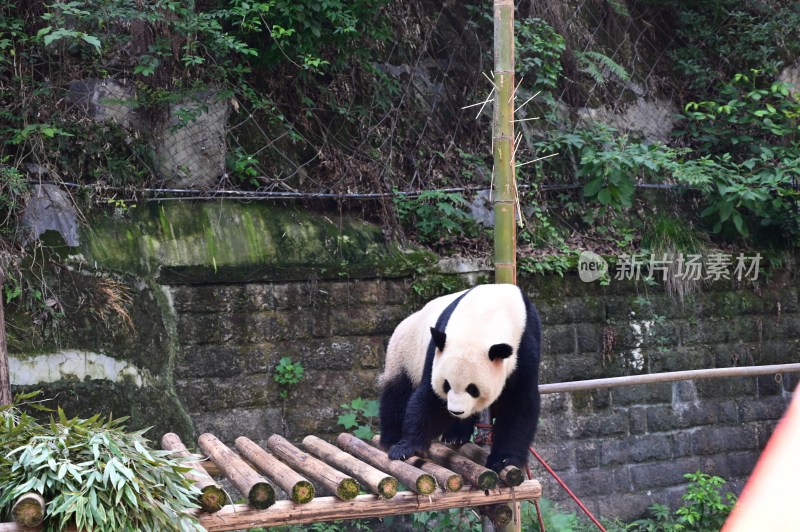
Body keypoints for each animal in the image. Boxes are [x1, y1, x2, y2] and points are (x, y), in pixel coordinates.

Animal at [378, 284, 540, 472]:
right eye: (446, 385)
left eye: (473, 389)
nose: (456, 411)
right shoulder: (438, 348)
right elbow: (428, 397)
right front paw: (405, 448)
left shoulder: (525, 344)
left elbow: (519, 402)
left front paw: (504, 459)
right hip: (404, 353)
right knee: (397, 394)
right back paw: (392, 439)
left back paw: (456, 434)